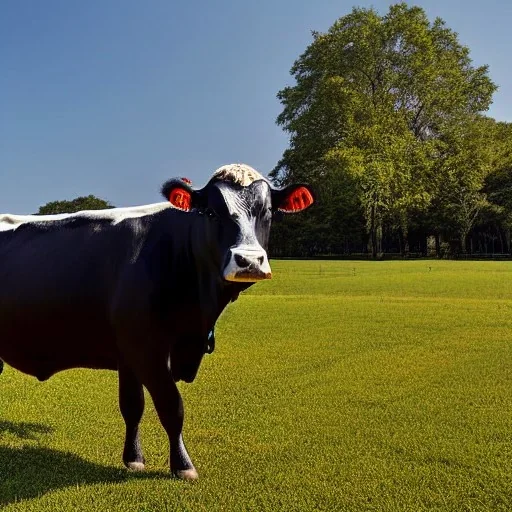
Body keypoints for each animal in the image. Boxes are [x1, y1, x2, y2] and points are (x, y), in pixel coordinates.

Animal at [0, 164, 314, 480]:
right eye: (211, 212)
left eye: (268, 211)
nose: (248, 261)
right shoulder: (146, 349)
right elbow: (171, 406)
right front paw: (183, 465)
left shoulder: (128, 353)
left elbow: (132, 406)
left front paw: (133, 459)